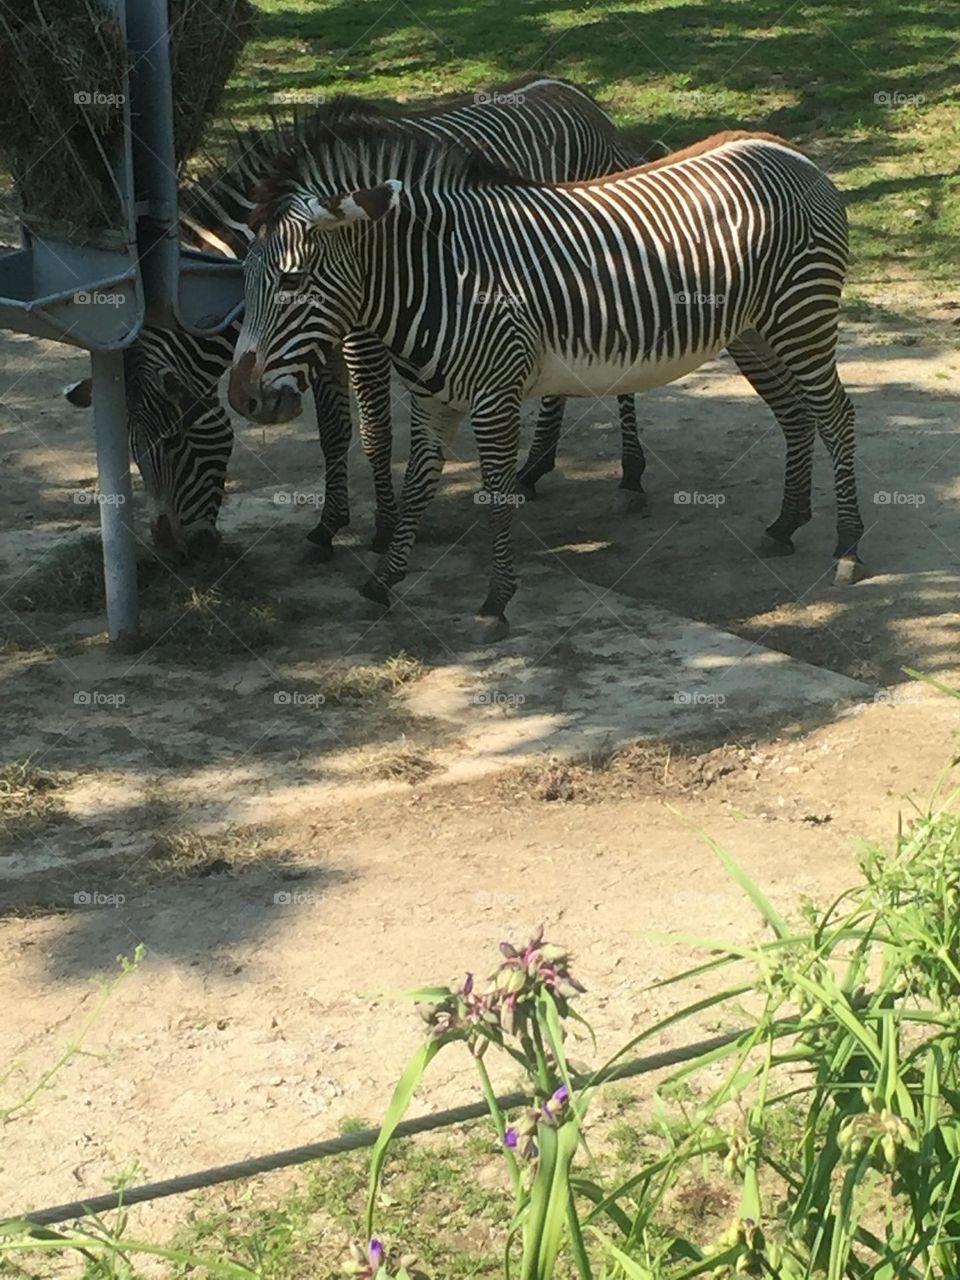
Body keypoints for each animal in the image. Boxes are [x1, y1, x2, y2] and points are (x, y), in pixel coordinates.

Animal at [66, 78, 665, 561]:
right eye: (131, 452)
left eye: (175, 442)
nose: (172, 553)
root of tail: (577, 94)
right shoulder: (322, 339)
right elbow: (334, 430)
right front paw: (328, 526)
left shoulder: (362, 336)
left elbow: (375, 432)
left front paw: (385, 528)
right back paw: (536, 465)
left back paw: (631, 477)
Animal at [227, 118, 865, 642]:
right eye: (243, 275)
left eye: (292, 281)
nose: (242, 398)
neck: (439, 276)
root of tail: (782, 147)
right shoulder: (432, 401)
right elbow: (417, 490)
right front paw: (382, 583)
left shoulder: (495, 398)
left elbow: (496, 499)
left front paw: (494, 604)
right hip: (754, 331)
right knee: (795, 415)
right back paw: (786, 525)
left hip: (800, 314)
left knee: (836, 416)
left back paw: (850, 546)